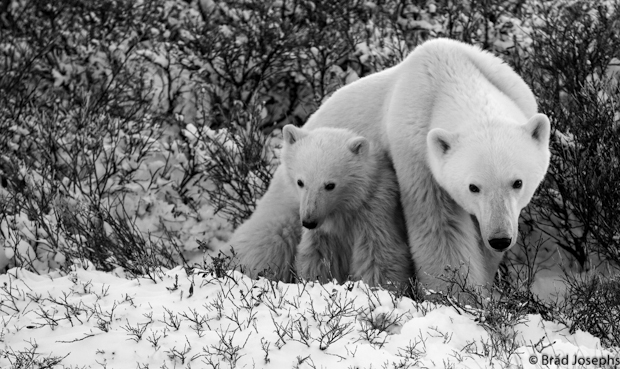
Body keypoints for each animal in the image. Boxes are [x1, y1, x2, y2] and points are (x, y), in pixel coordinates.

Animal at [229, 36, 552, 290]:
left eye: (518, 182)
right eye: (473, 186)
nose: (500, 238)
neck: (451, 75)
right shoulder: (416, 152)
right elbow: (439, 228)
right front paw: (458, 296)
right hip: (296, 194)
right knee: (270, 235)